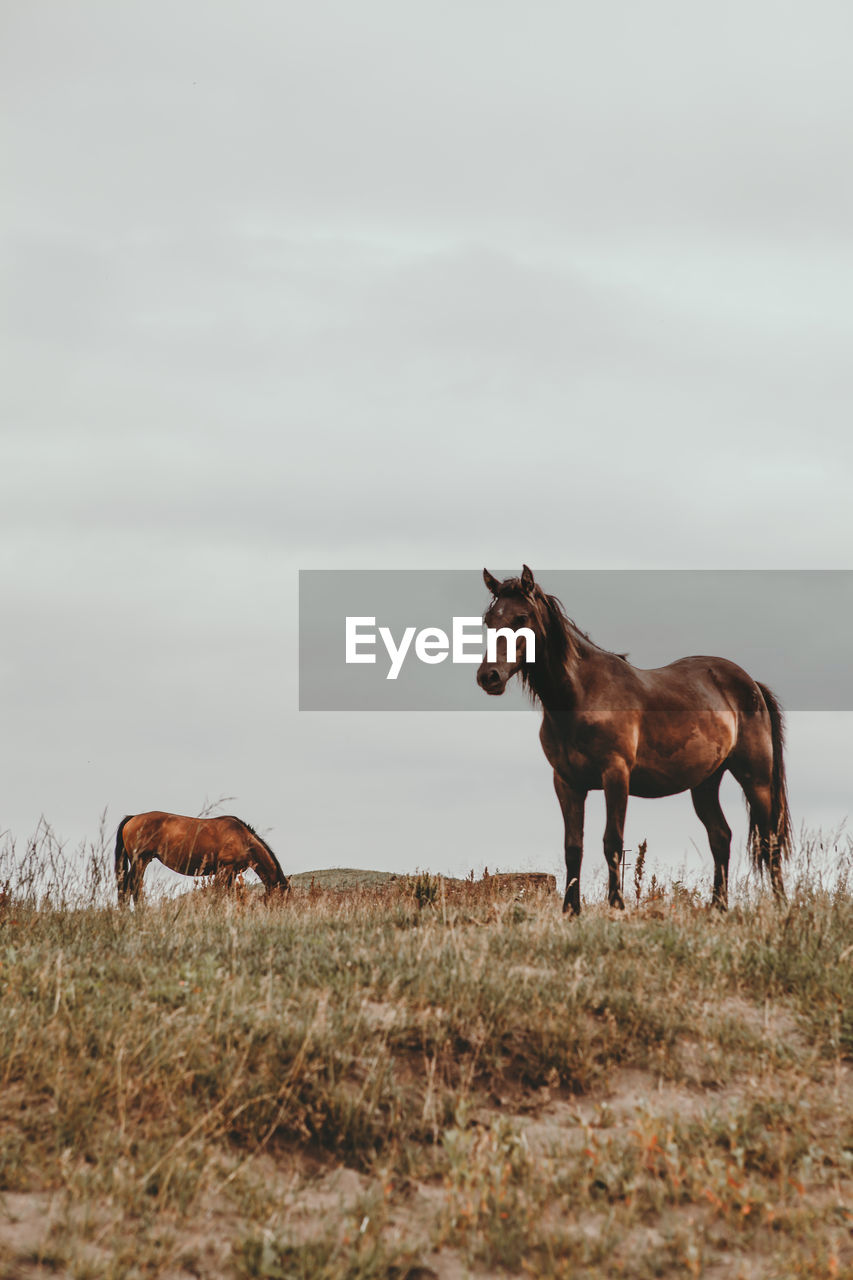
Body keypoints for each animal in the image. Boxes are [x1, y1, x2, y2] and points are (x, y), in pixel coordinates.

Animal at [112, 814, 289, 906]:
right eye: (283, 898)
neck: (243, 838)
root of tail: (132, 818)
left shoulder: (231, 873)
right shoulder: (225, 870)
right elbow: (219, 893)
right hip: (140, 861)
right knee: (132, 886)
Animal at [473, 565, 788, 916]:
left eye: (521, 617)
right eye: (489, 620)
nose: (489, 677)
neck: (582, 695)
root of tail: (751, 684)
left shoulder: (616, 775)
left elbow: (612, 841)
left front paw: (616, 905)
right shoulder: (567, 783)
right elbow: (573, 846)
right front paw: (571, 910)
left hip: (755, 778)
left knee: (770, 842)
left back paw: (780, 905)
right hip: (705, 783)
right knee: (721, 837)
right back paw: (718, 907)